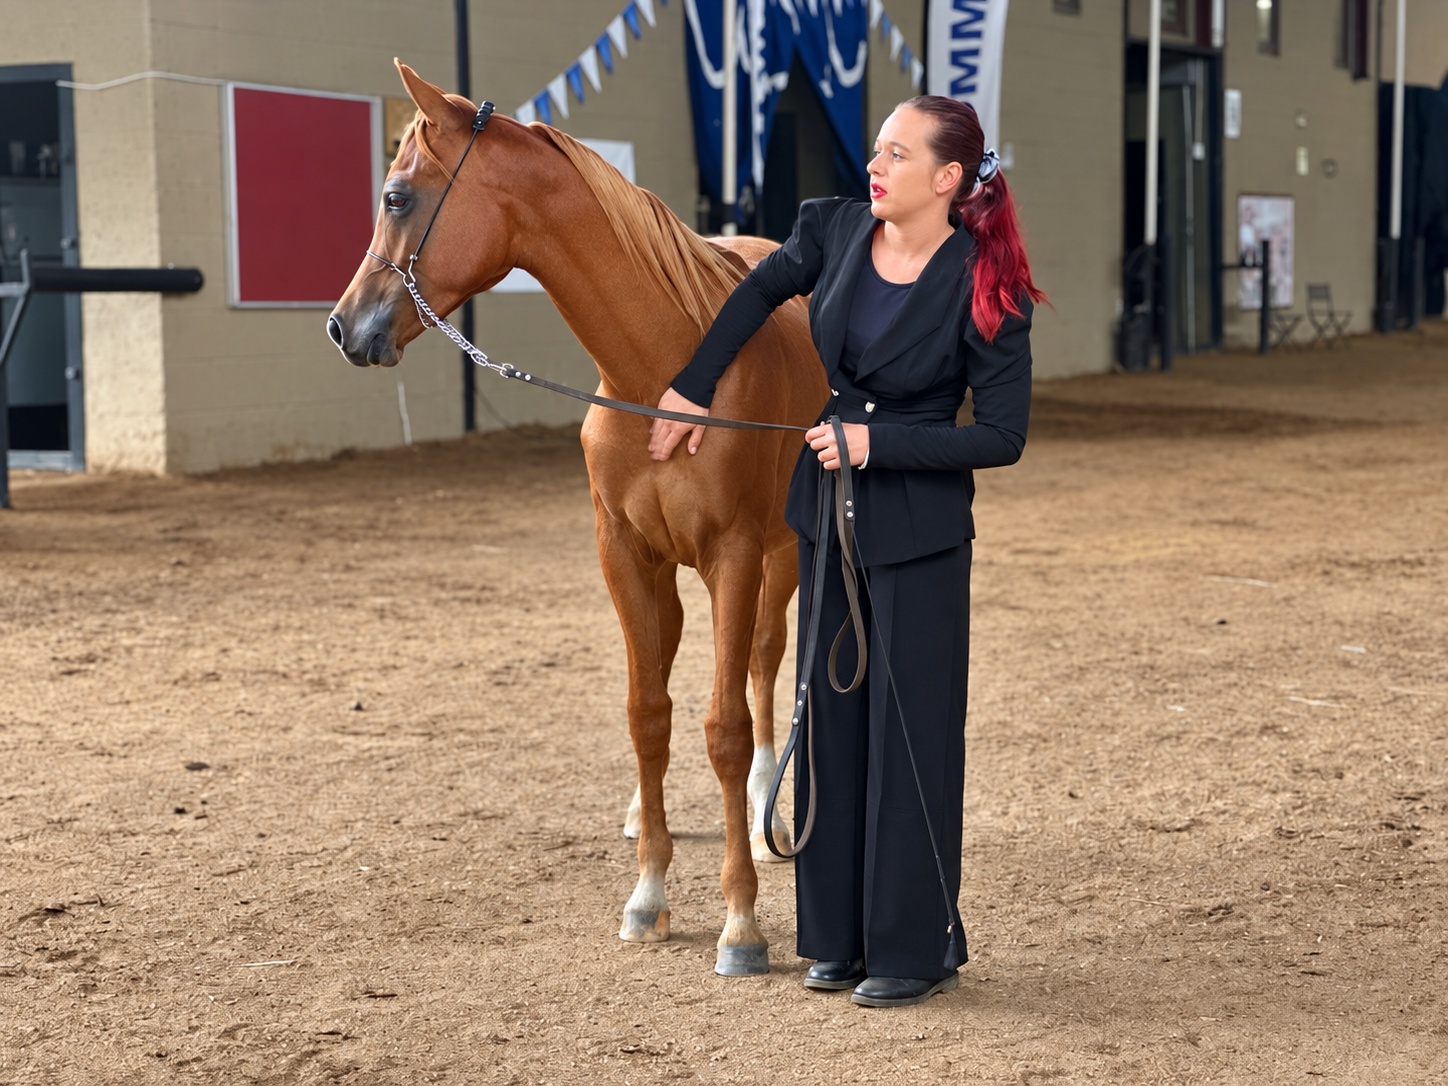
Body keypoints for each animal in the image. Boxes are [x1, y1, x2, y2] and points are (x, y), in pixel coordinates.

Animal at [327, 62, 827, 975]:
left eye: (396, 197)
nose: (343, 325)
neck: (669, 366)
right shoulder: (624, 556)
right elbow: (646, 714)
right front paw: (649, 892)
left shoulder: (736, 556)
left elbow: (726, 726)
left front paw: (741, 921)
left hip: (781, 560)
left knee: (764, 666)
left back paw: (766, 807)